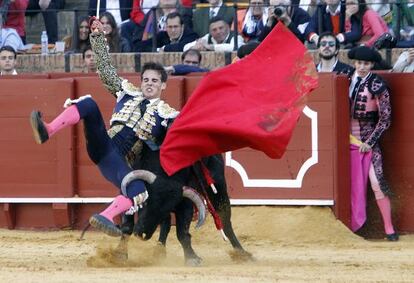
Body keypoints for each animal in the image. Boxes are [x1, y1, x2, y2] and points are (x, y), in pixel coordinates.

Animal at [116, 145, 252, 266]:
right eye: (144, 203)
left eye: (166, 210)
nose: (141, 234)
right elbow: (127, 226)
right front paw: (120, 254)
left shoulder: (186, 202)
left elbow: (182, 233)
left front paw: (192, 258)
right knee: (166, 224)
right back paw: (159, 251)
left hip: (218, 186)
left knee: (225, 220)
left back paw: (242, 253)